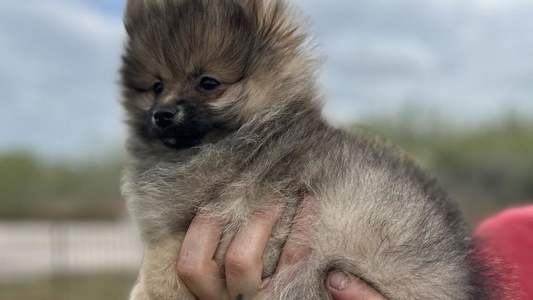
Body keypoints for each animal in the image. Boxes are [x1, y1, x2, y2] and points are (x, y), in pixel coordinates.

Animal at [119, 0, 494, 300]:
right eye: (157, 86)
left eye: (208, 83)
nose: (162, 114)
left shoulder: (224, 219)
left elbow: (160, 267)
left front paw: (144, 291)